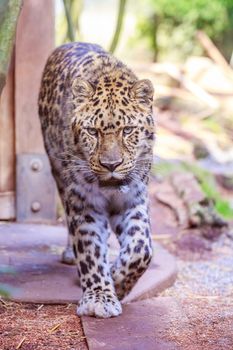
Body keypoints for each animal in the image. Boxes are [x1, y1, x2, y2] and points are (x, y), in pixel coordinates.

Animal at [38, 42, 155, 318]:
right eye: (92, 132)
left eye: (128, 130)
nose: (111, 165)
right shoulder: (84, 204)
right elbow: (90, 249)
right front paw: (99, 297)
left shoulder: (134, 200)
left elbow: (141, 248)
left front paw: (119, 281)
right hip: (58, 173)